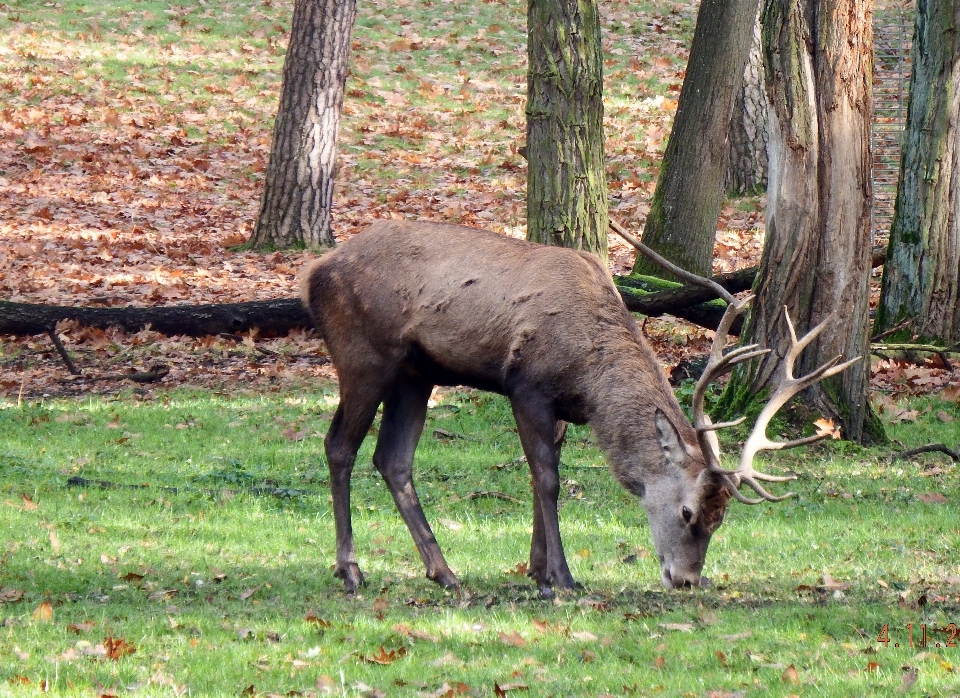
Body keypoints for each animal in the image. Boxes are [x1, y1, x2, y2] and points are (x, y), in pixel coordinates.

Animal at [300, 220, 856, 596]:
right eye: (688, 512)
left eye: (721, 521)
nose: (685, 579)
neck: (590, 380)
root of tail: (312, 274)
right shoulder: (526, 386)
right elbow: (546, 478)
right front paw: (562, 578)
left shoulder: (562, 409)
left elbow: (538, 477)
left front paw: (536, 569)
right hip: (363, 356)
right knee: (339, 446)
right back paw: (351, 570)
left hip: (417, 375)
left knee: (393, 459)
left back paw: (445, 572)